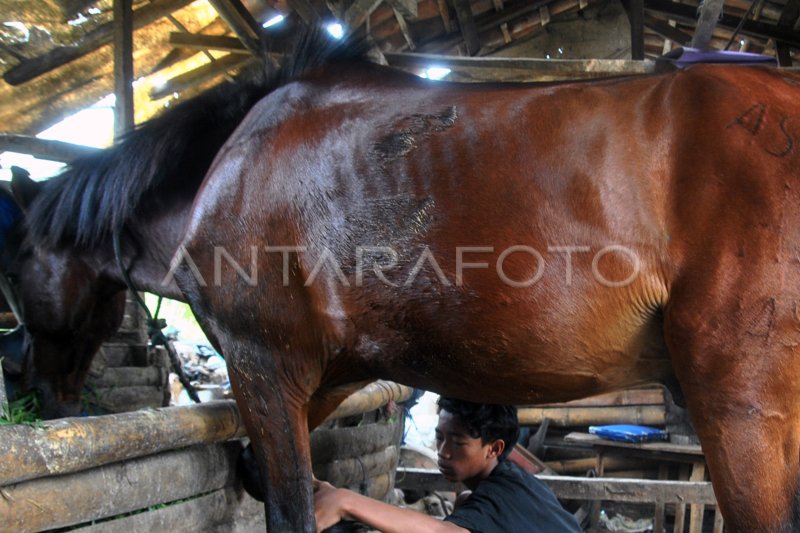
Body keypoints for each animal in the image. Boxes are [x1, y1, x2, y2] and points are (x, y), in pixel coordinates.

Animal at [1, 32, 800, 532]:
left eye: (12, 268)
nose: (34, 389)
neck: (226, 170)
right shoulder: (330, 373)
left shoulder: (263, 367)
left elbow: (289, 505)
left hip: (742, 412)